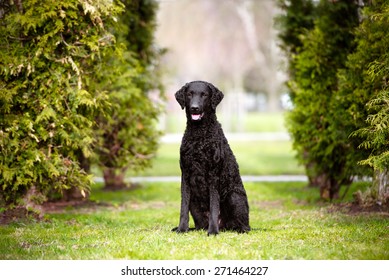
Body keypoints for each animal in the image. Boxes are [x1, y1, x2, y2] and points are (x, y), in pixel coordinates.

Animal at [172, 80, 249, 235]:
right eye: (189, 94)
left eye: (204, 95)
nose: (194, 108)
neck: (199, 134)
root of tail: (224, 227)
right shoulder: (185, 174)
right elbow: (183, 208)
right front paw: (181, 229)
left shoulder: (214, 175)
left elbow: (214, 205)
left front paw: (213, 231)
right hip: (195, 203)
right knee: (199, 224)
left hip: (233, 196)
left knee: (244, 226)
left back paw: (235, 229)